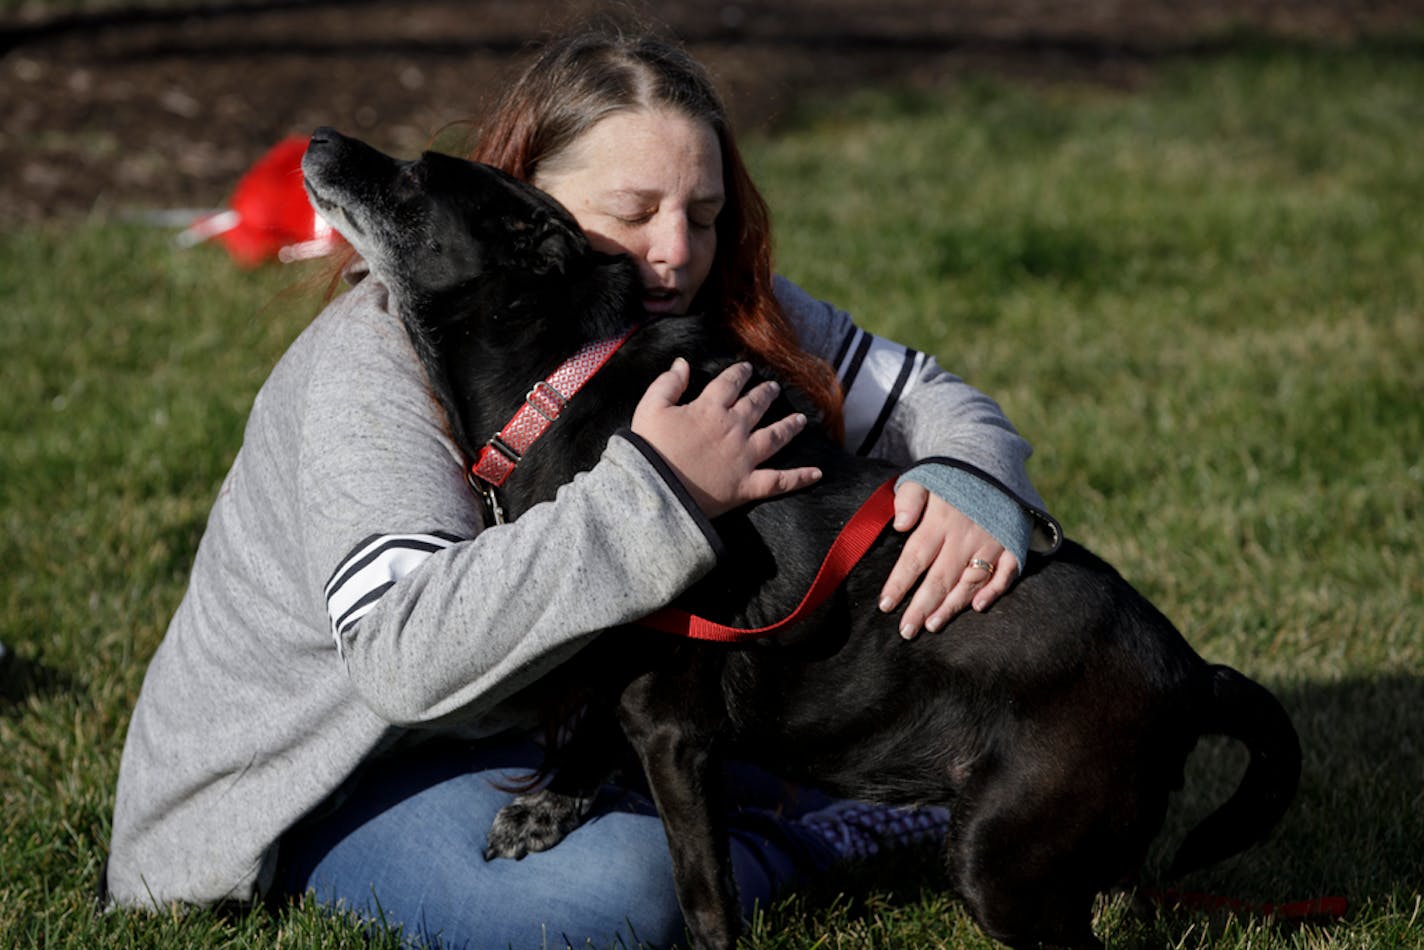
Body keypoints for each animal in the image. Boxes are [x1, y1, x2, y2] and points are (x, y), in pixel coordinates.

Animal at [300, 131, 1304, 950]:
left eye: (416, 177)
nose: (318, 138)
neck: (561, 388)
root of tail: (1193, 672)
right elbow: (586, 725)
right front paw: (548, 804)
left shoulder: (676, 731)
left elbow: (705, 896)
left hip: (1003, 857)